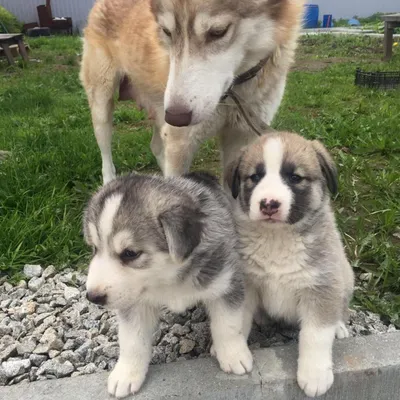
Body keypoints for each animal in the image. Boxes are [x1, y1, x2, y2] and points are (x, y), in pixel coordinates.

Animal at [79, 0, 304, 184]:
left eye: (218, 32)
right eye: (166, 32)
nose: (175, 116)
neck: (233, 93)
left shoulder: (241, 136)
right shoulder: (180, 142)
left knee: (156, 146)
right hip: (104, 107)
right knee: (106, 154)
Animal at [83, 171, 253, 396]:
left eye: (130, 253)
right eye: (94, 248)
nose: (92, 297)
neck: (168, 278)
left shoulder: (226, 282)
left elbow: (228, 325)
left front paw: (234, 355)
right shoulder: (135, 305)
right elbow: (131, 340)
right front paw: (127, 373)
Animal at [225, 131, 354, 396]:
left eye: (295, 177)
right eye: (255, 177)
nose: (269, 204)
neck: (278, 238)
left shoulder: (321, 286)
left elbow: (315, 335)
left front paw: (314, 374)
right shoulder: (246, 282)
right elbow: (237, 320)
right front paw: (234, 350)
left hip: (345, 277)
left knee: (341, 308)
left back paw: (338, 326)